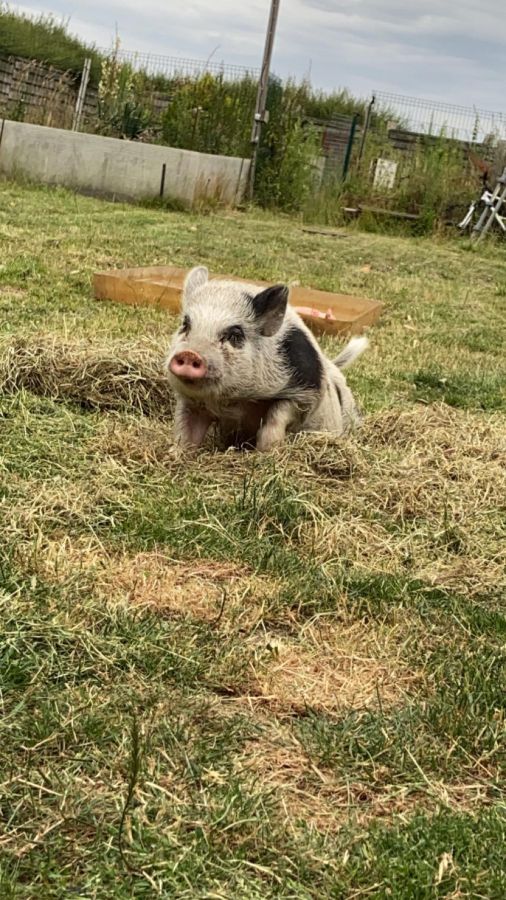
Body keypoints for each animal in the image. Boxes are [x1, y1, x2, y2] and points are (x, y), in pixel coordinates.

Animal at [165, 266, 368, 451]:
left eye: (235, 335)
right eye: (185, 325)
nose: (189, 354)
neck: (235, 401)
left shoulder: (307, 393)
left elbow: (277, 414)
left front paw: (267, 450)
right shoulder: (192, 402)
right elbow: (186, 432)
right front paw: (175, 455)